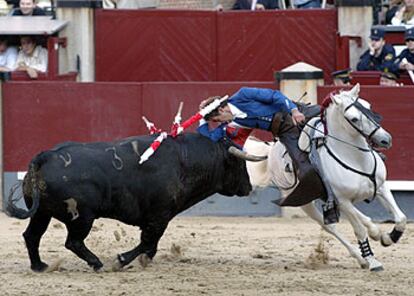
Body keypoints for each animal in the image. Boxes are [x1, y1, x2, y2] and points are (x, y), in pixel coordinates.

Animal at [6, 133, 254, 272]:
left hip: (42, 213)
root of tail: (44, 157)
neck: (185, 161)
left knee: (32, 236)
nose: (249, 187)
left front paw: (144, 260)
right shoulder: (159, 216)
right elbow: (147, 242)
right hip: (82, 217)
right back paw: (97, 263)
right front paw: (122, 260)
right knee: (73, 242)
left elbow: (151, 244)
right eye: (240, 165)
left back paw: (39, 266)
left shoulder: (156, 219)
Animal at [244, 83, 406, 270]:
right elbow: (359, 229)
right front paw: (372, 260)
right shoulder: (342, 200)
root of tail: (271, 150)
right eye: (354, 119)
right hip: (305, 202)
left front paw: (388, 238)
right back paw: (361, 257)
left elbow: (401, 218)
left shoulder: (381, 187)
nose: (385, 139)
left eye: (369, 106)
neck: (357, 159)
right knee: (329, 225)